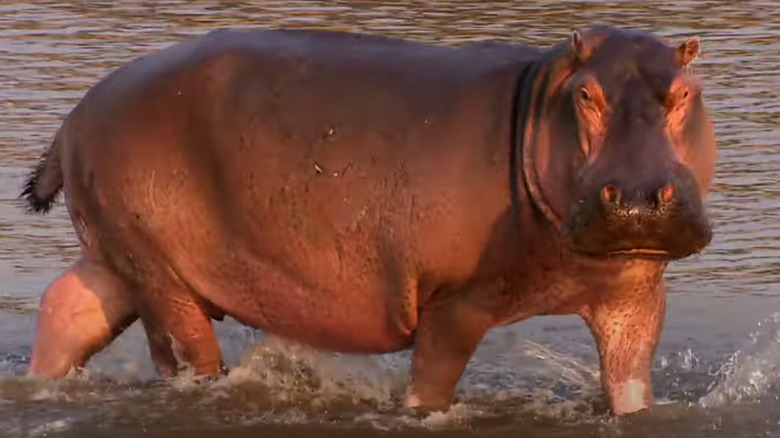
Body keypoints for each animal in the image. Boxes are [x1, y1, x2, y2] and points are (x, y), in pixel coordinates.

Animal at [19, 25, 712, 416]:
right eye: (586, 95)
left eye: (684, 92)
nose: (640, 199)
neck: (540, 98)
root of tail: (74, 117)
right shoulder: (455, 303)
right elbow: (430, 390)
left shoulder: (635, 298)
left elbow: (632, 392)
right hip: (161, 277)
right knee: (183, 356)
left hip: (117, 256)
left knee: (66, 308)